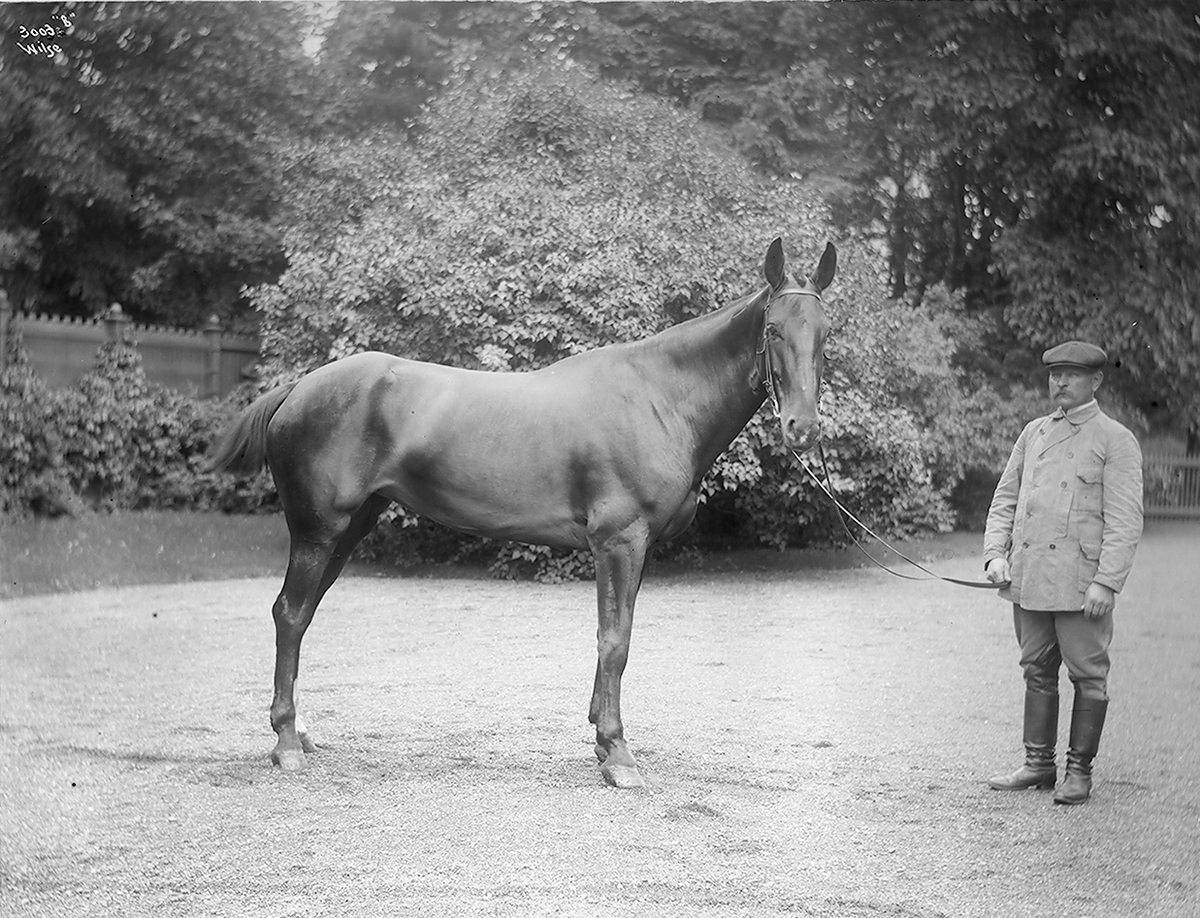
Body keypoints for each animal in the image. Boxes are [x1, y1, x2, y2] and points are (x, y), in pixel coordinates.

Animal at [208, 236, 835, 787]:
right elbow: (615, 639)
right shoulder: (619, 541)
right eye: (773, 329)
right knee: (290, 615)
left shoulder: (633, 547)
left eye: (825, 333)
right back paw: (286, 745)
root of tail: (298, 388)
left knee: (303, 614)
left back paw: (301, 733)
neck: (659, 398)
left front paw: (601, 739)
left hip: (350, 528)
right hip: (319, 529)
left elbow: (615, 633)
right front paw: (618, 755)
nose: (801, 427)